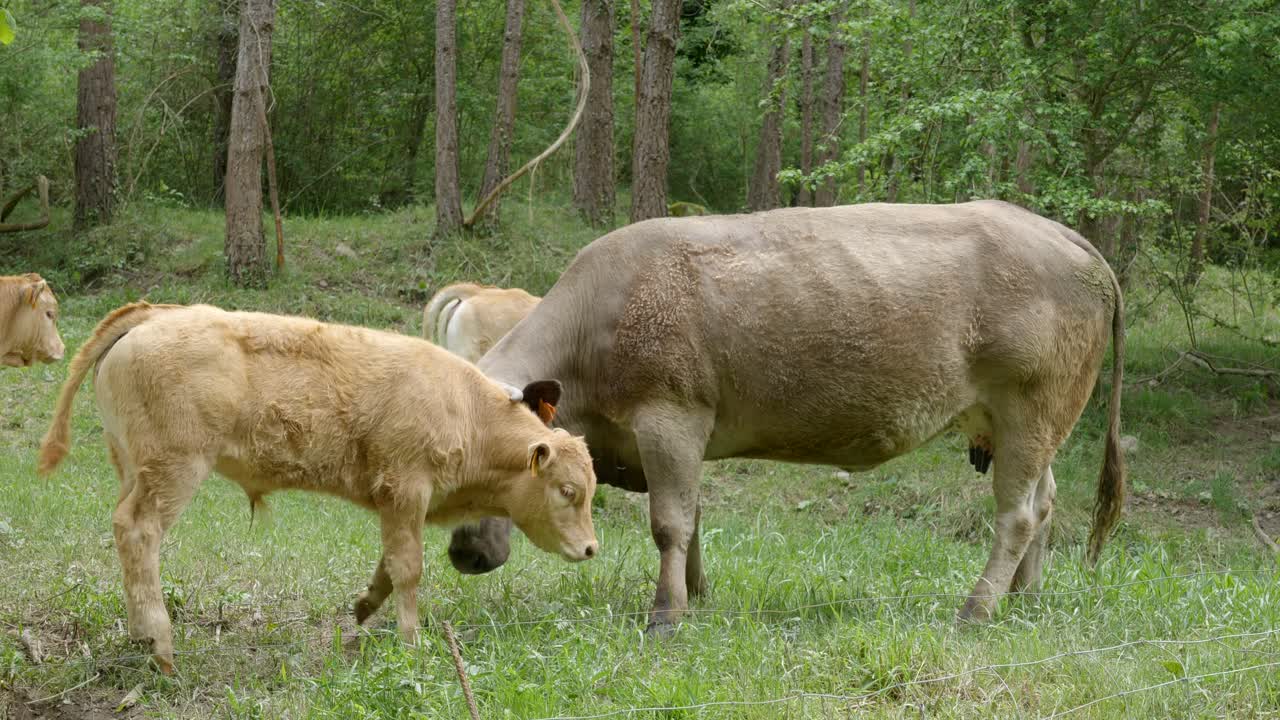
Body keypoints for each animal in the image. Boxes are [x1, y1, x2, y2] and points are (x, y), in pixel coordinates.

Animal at [36, 302, 599, 673]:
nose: (592, 548)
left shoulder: (399, 506)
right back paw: (160, 645)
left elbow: (390, 564)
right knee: (139, 531)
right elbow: (409, 569)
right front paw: (412, 642)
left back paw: (139, 638)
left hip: (132, 467)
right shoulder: (406, 489)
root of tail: (154, 315)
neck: (466, 409)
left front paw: (364, 608)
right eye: (568, 490)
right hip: (173, 472)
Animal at [445, 200, 1126, 634]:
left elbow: (669, 523)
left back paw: (976, 611)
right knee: (1045, 502)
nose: (462, 556)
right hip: (1026, 423)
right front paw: (699, 595)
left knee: (1018, 515)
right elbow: (694, 518)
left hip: (1032, 405)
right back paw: (1025, 598)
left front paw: (666, 616)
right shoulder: (681, 439)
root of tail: (1062, 235)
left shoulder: (671, 419)